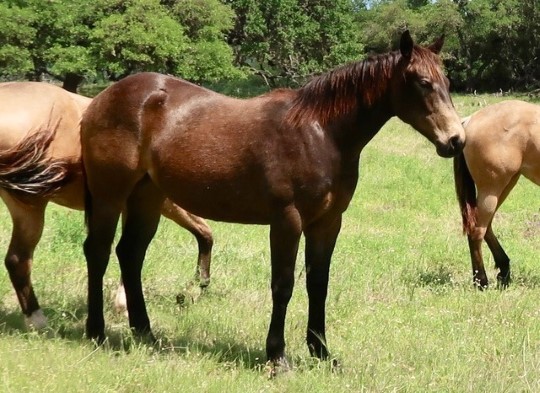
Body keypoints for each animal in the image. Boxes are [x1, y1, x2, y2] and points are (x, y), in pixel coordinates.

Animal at [0, 81, 214, 330]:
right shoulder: (161, 204)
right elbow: (201, 233)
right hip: (33, 203)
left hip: (26, 208)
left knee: (17, 259)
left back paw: (36, 321)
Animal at [79, 29, 464, 368]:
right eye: (422, 82)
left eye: (447, 83)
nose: (456, 140)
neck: (320, 134)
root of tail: (100, 100)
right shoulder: (286, 221)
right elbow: (283, 285)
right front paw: (277, 357)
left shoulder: (327, 223)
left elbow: (318, 285)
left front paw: (322, 353)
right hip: (110, 196)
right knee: (98, 252)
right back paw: (96, 332)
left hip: (148, 198)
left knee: (130, 255)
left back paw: (145, 332)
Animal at [456, 99, 540, 288]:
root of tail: (470, 120)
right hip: (492, 189)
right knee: (477, 232)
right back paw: (481, 282)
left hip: (505, 185)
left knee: (486, 227)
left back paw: (503, 271)